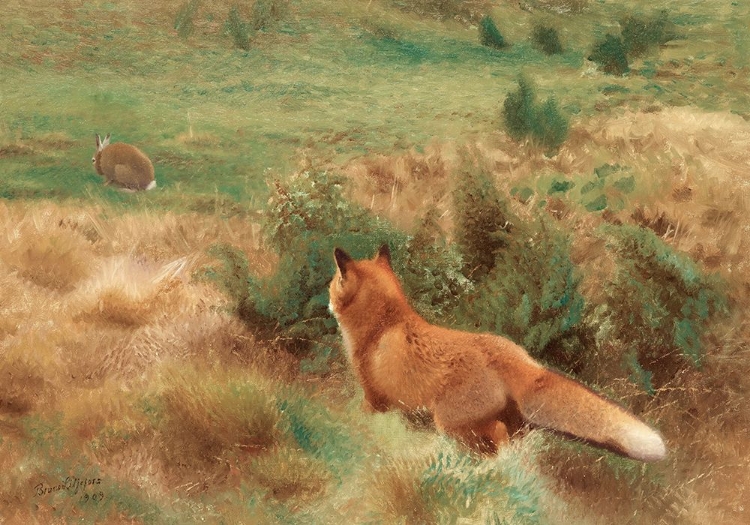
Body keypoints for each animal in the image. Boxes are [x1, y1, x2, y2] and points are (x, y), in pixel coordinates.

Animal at [328, 244, 667, 462]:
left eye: (332, 284)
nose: (327, 301)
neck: (383, 324)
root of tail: (519, 359)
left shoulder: (374, 398)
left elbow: (360, 417)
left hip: (450, 422)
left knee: (495, 436)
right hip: (507, 423)